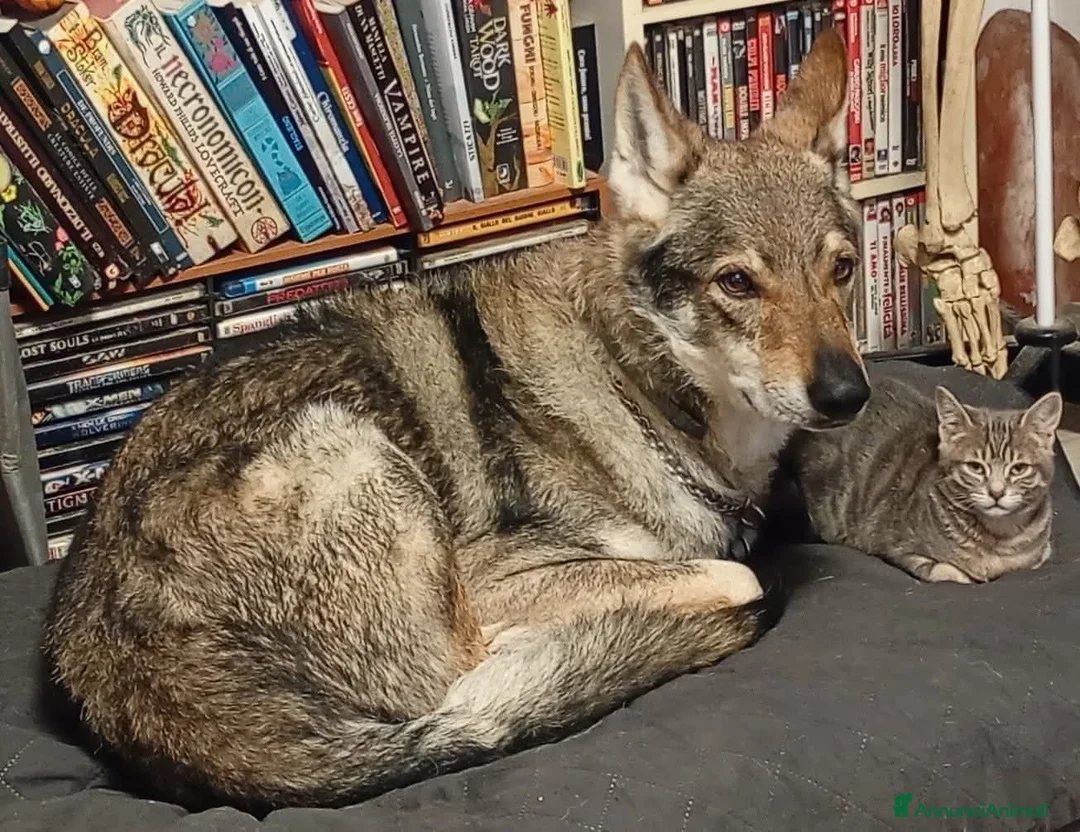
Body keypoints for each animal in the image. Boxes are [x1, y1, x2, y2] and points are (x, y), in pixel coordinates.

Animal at [44, 28, 869, 813]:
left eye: (843, 268)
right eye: (737, 282)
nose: (848, 394)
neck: (636, 387)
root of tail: (105, 665)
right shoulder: (495, 579)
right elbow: (735, 571)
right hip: (365, 459)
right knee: (470, 681)